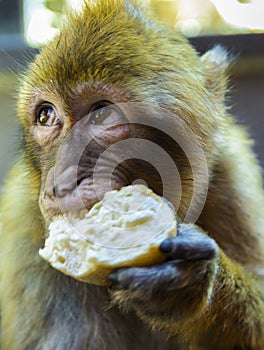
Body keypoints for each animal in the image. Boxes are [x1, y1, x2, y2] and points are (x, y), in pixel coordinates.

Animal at [0, 0, 264, 348]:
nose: (62, 184)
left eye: (102, 113)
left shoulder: (233, 177)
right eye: (46, 115)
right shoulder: (24, 230)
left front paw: (191, 279)